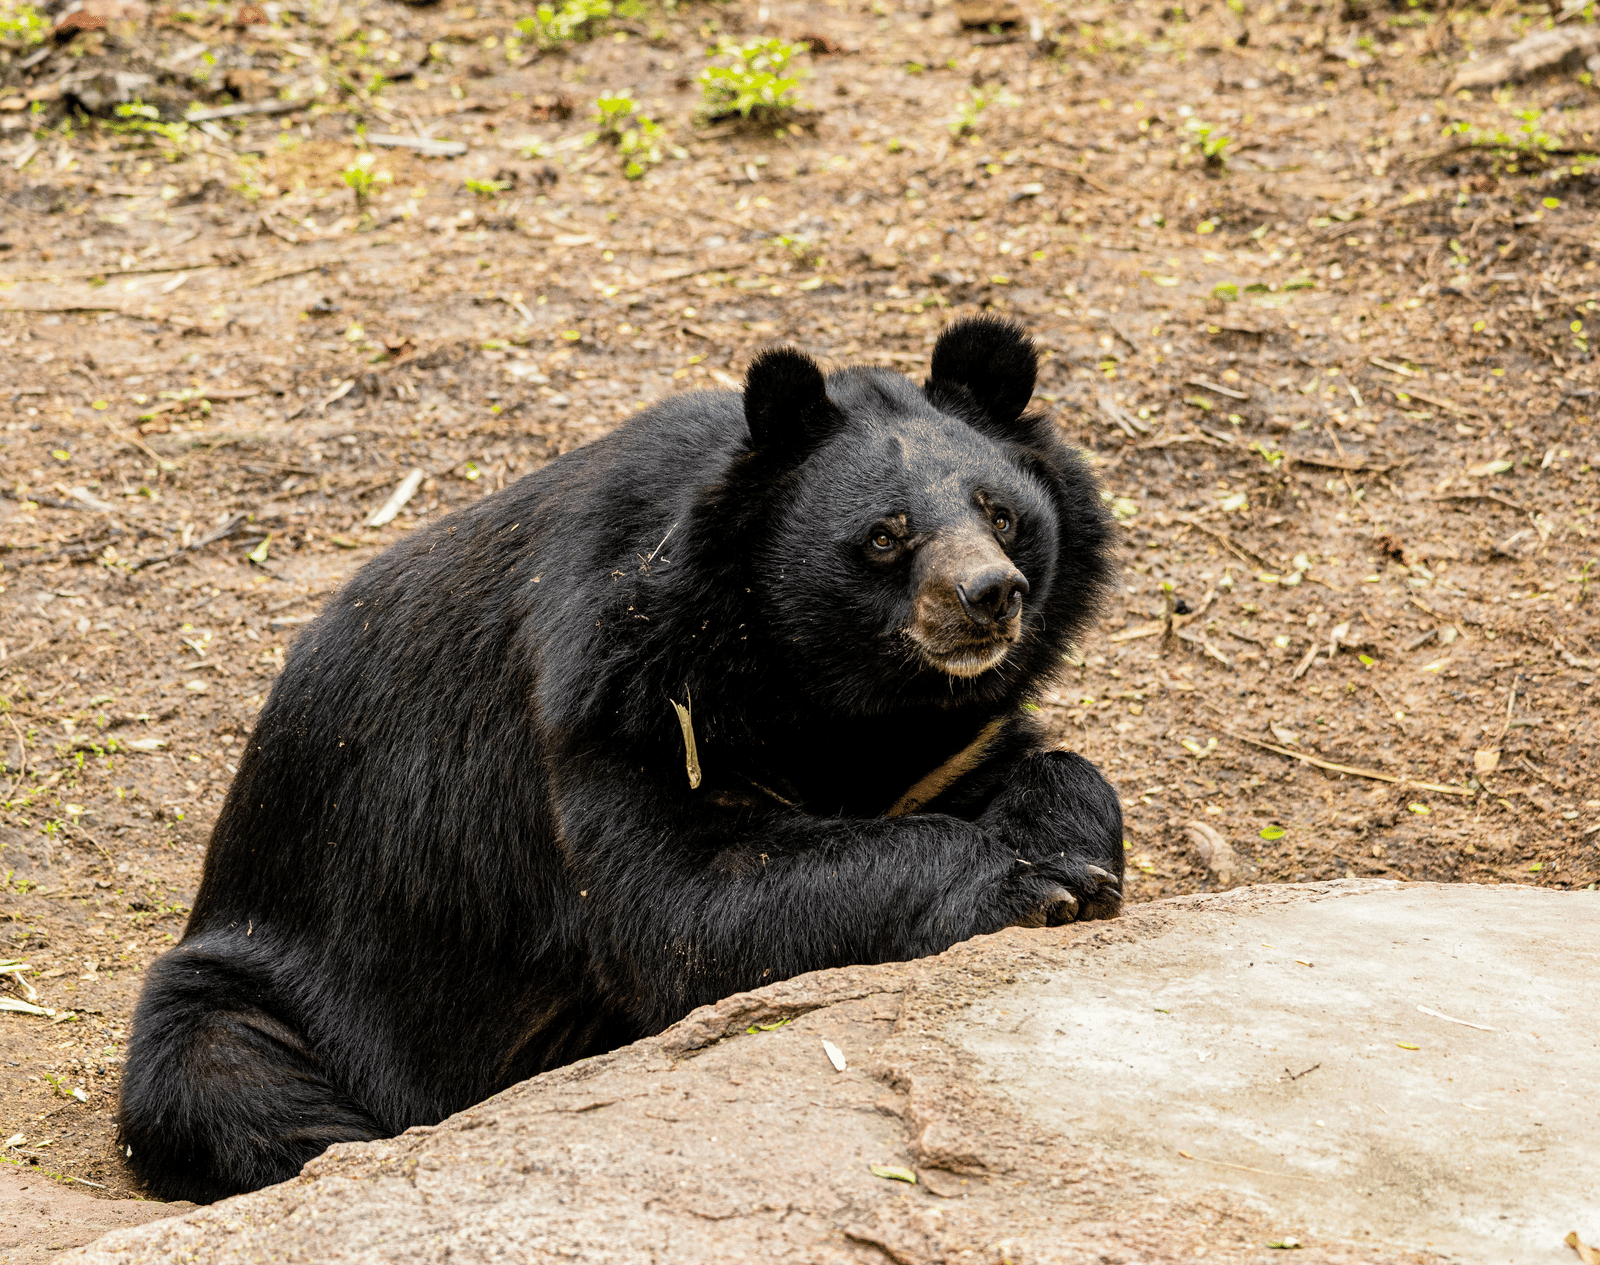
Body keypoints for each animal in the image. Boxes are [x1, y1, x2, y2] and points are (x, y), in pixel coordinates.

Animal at [116, 316, 1124, 1204]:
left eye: (1003, 513)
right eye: (885, 534)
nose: (990, 595)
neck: (831, 686)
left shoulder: (944, 742)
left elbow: (1047, 769)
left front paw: (1073, 854)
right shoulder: (617, 700)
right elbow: (687, 904)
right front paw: (1032, 886)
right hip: (273, 972)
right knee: (223, 1072)